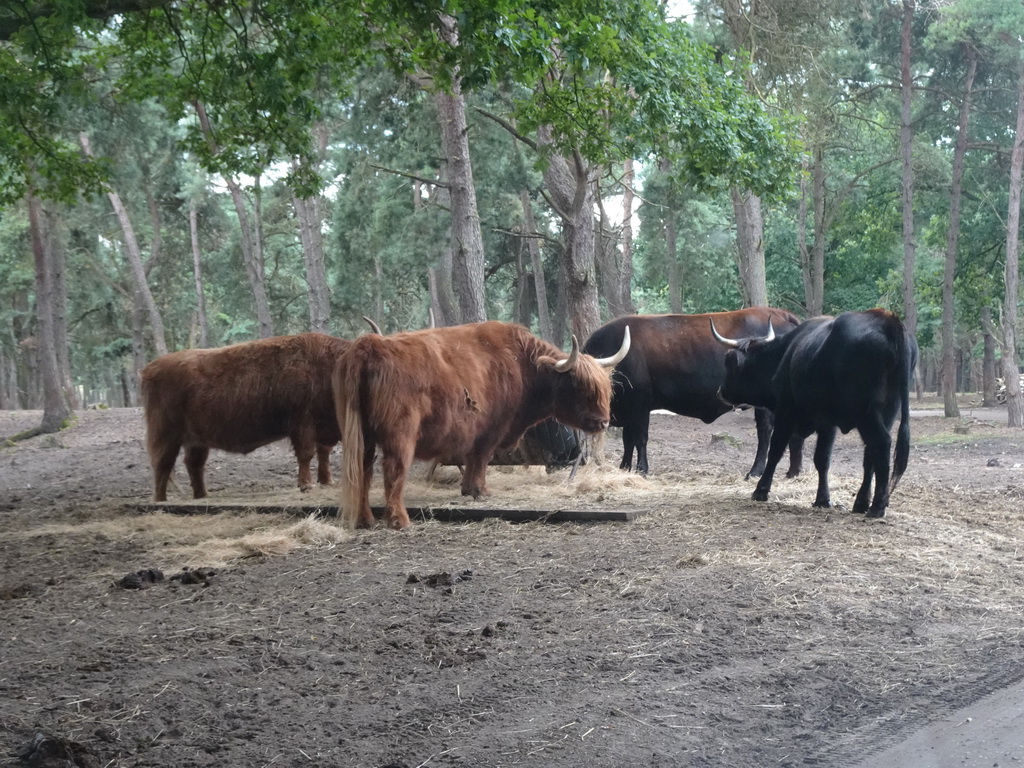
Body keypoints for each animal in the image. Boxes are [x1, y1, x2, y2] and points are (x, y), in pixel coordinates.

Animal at [140, 331, 350, 501]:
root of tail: (150, 368)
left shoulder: (322, 427)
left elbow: (324, 453)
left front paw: (327, 480)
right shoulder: (303, 425)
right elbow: (306, 454)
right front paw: (306, 485)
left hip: (196, 440)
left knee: (194, 464)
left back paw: (202, 495)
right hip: (165, 435)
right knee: (162, 464)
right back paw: (160, 500)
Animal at [331, 319, 626, 528]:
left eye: (604, 388)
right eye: (579, 386)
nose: (602, 422)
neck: (520, 365)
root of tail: (370, 344)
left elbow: (474, 459)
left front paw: (469, 489)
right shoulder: (490, 429)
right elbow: (480, 458)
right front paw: (479, 490)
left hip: (362, 436)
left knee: (362, 472)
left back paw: (364, 519)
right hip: (400, 435)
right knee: (393, 470)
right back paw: (398, 520)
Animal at [585, 309, 806, 479]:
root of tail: (780, 314)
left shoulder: (640, 407)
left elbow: (639, 439)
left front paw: (642, 470)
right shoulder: (630, 410)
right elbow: (628, 440)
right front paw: (624, 468)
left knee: (765, 432)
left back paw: (756, 472)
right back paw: (793, 472)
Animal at [712, 309, 921, 520]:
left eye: (729, 364)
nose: (720, 391)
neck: (784, 355)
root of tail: (887, 320)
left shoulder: (786, 412)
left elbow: (776, 450)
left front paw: (761, 490)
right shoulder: (827, 424)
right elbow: (822, 459)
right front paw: (822, 499)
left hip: (866, 412)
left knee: (881, 443)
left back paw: (877, 506)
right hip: (887, 412)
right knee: (871, 453)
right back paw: (861, 502)